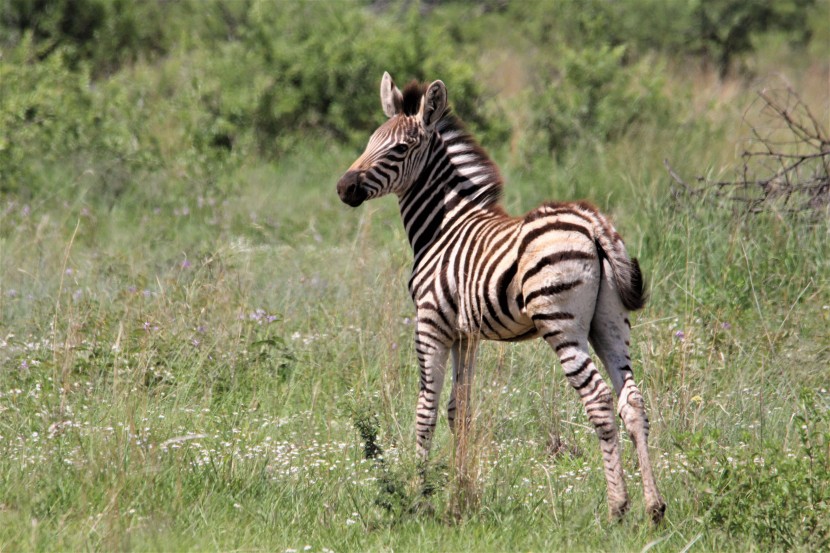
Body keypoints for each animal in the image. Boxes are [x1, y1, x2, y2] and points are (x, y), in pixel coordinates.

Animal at [334, 71, 668, 520]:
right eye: (370, 141)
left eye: (399, 148)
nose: (343, 187)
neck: (443, 225)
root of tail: (592, 224)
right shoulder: (465, 333)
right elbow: (459, 410)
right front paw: (459, 490)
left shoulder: (430, 323)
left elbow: (426, 409)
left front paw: (419, 494)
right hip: (609, 321)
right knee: (632, 400)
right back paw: (654, 507)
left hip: (561, 323)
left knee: (598, 400)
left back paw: (617, 507)